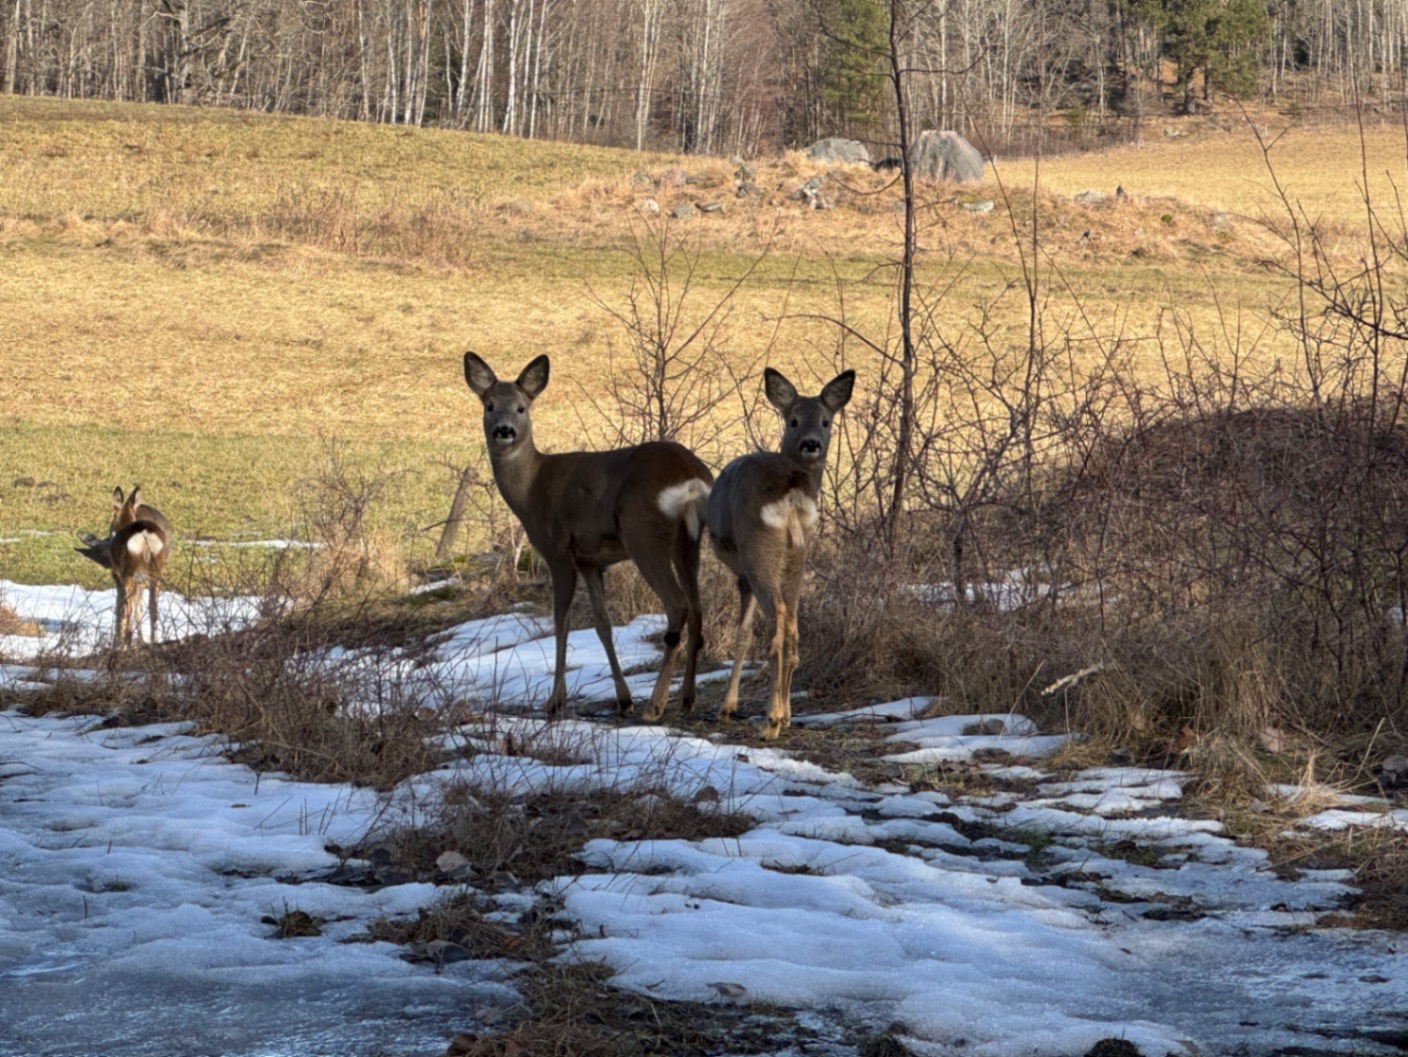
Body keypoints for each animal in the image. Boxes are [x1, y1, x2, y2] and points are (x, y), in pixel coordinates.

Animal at [76, 486, 173, 647]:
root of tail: (144, 536)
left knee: (128, 606)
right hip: (156, 570)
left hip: (128, 570)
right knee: (152, 606)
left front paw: (118, 642)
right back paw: (153, 641)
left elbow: (121, 607)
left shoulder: (118, 574)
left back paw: (127, 642)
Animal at [463, 352, 714, 720]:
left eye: (522, 407)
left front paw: (554, 702)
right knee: (696, 609)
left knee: (678, 606)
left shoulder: (557, 551)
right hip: (689, 541)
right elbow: (602, 624)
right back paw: (687, 698)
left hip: (644, 533)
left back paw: (655, 704)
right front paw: (623, 699)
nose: (504, 431)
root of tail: (692, 476)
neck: (531, 489)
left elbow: (561, 622)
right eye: (489, 405)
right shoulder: (590, 561)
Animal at [706, 367, 855, 739]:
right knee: (792, 625)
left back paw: (770, 721)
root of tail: (789, 492)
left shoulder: (742, 573)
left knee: (776, 625)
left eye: (826, 421)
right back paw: (784, 715)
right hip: (798, 555)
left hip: (757, 551)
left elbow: (743, 634)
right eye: (794, 420)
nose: (811, 443)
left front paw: (726, 707)